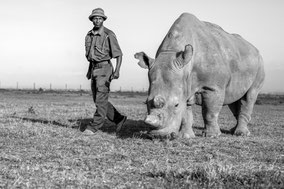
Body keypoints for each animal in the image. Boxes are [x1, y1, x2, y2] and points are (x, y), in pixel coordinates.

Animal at [134, 12, 266, 137]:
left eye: (176, 105)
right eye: (146, 102)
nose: (158, 136)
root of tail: (256, 50)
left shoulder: (213, 87)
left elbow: (209, 112)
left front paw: (212, 135)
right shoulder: (184, 83)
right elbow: (186, 114)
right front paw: (186, 136)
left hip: (260, 65)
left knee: (249, 96)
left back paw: (241, 134)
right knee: (235, 98)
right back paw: (233, 131)